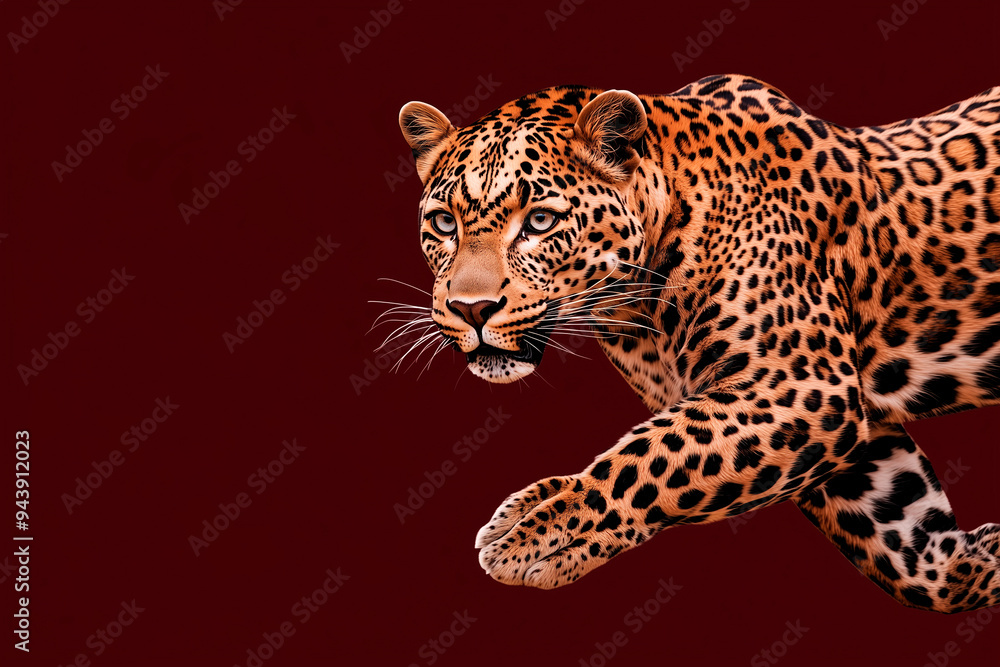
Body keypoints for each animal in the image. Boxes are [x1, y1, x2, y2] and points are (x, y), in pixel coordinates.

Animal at [394, 74, 1000, 613]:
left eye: (540, 221)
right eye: (444, 223)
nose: (471, 309)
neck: (635, 305)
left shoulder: (801, 385)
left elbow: (650, 458)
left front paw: (541, 532)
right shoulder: (853, 430)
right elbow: (904, 543)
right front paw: (981, 561)